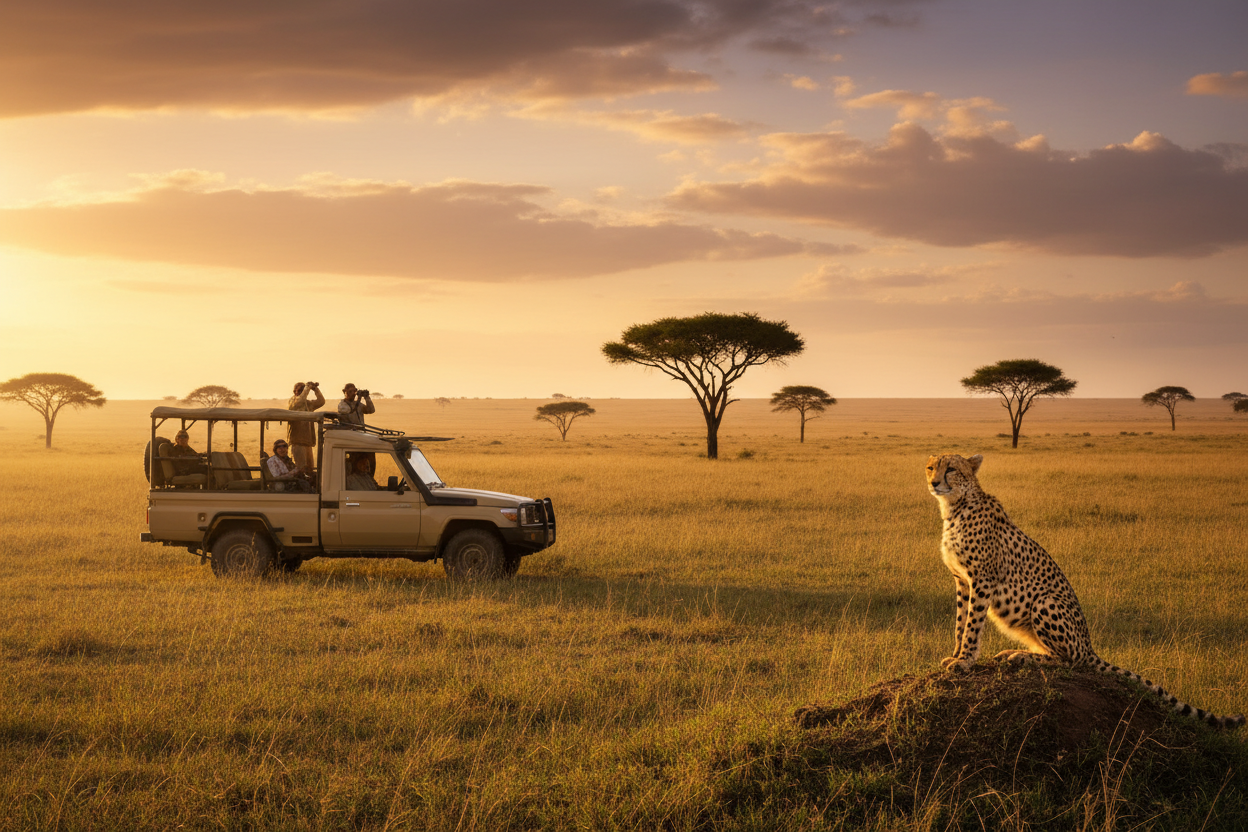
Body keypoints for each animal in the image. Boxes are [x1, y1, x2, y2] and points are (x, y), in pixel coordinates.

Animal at [926, 452, 1244, 730]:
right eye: (931, 467)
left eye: (951, 469)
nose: (934, 482)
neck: (955, 508)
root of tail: (1089, 646)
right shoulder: (962, 581)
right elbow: (960, 623)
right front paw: (955, 655)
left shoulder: (982, 579)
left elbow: (972, 625)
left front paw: (964, 661)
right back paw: (1014, 652)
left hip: (1046, 602)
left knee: (1070, 660)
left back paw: (1021, 657)